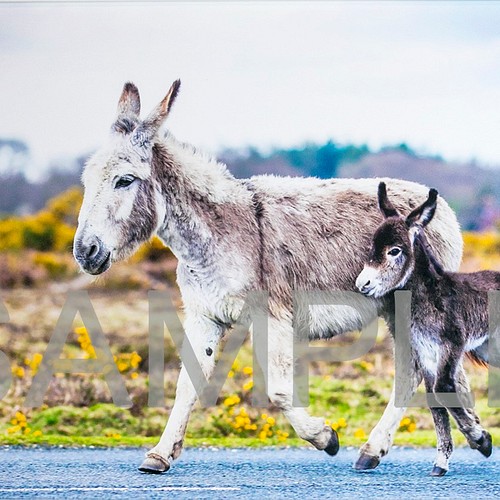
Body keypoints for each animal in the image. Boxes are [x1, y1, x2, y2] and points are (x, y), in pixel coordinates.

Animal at [358, 182, 494, 474]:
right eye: (372, 246)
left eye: (394, 250)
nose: (362, 284)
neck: (431, 295)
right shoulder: (427, 355)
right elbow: (435, 403)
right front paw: (441, 463)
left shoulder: (450, 348)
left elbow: (444, 391)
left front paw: (482, 440)